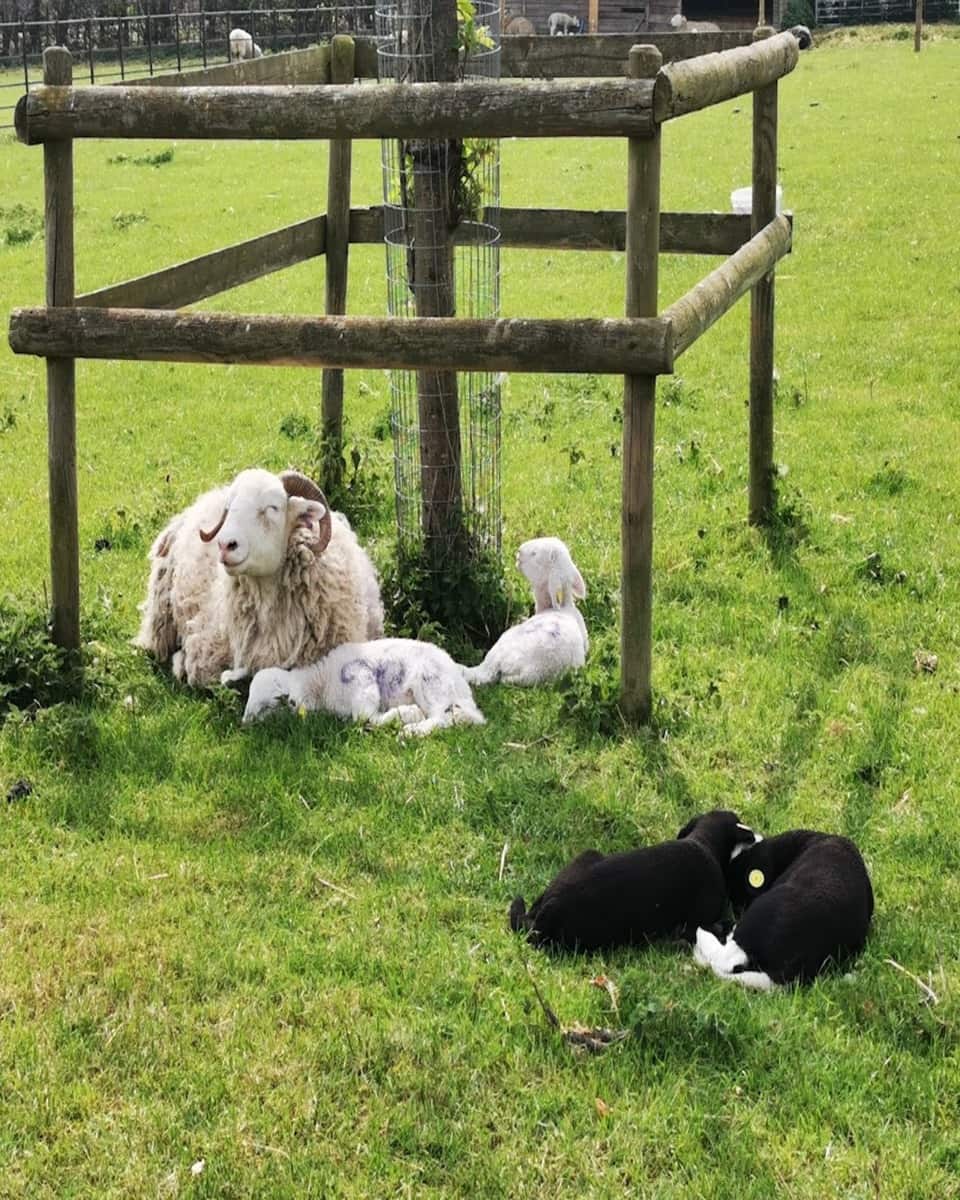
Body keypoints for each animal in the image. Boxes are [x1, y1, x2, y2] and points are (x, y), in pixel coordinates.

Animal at [242, 638, 486, 737]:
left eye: (268, 705)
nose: (244, 722)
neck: (317, 684)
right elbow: (363, 718)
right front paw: (406, 713)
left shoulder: (361, 678)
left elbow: (365, 718)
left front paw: (406, 714)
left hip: (431, 682)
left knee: (442, 718)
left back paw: (413, 730)